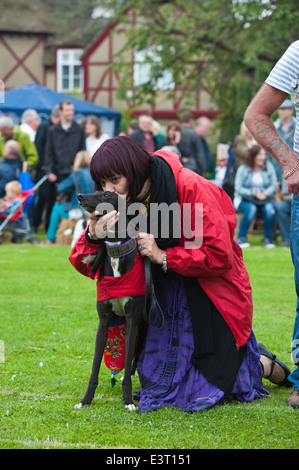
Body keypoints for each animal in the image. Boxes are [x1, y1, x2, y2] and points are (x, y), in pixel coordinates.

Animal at [74, 191, 149, 412]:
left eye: (107, 195)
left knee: (136, 354)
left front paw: (128, 400)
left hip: (144, 324)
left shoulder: (132, 319)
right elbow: (94, 367)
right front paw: (85, 400)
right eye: (94, 191)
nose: (80, 196)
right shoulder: (104, 321)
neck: (116, 250)